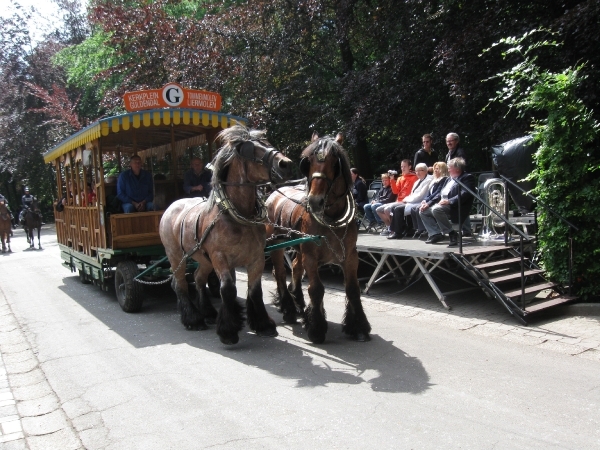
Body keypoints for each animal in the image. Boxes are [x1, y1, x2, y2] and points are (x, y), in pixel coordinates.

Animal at [266, 132, 370, 342]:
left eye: (335, 162)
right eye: (309, 161)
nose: (314, 201)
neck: (332, 218)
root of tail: (273, 193)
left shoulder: (350, 257)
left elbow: (353, 289)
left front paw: (358, 326)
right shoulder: (311, 257)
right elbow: (316, 289)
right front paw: (316, 327)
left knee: (295, 268)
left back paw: (298, 303)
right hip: (277, 244)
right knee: (279, 273)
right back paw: (289, 309)